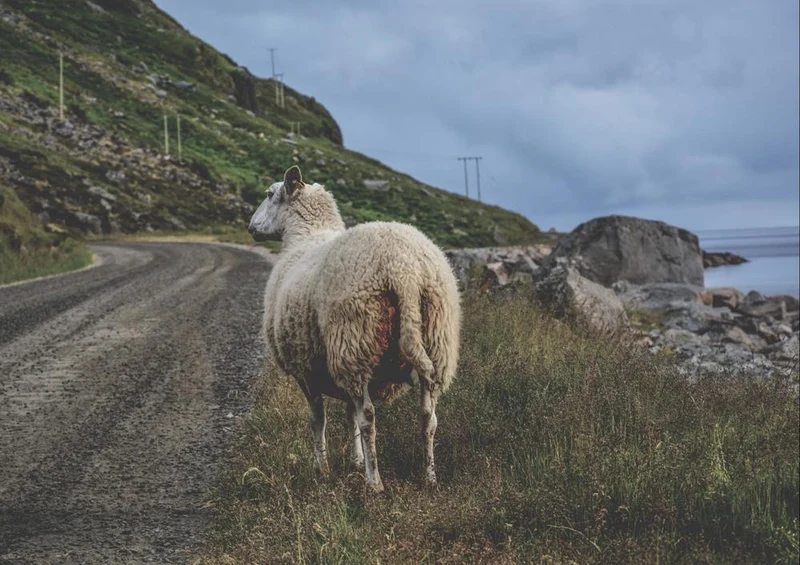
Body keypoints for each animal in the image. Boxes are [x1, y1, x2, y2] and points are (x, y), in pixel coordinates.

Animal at [248, 165, 461, 492]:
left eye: (270, 194)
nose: (251, 227)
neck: (305, 235)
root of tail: (404, 270)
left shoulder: (305, 368)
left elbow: (319, 419)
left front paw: (322, 468)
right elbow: (348, 415)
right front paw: (355, 461)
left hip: (354, 341)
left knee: (369, 418)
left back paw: (374, 483)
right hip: (435, 341)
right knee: (428, 416)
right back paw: (429, 477)